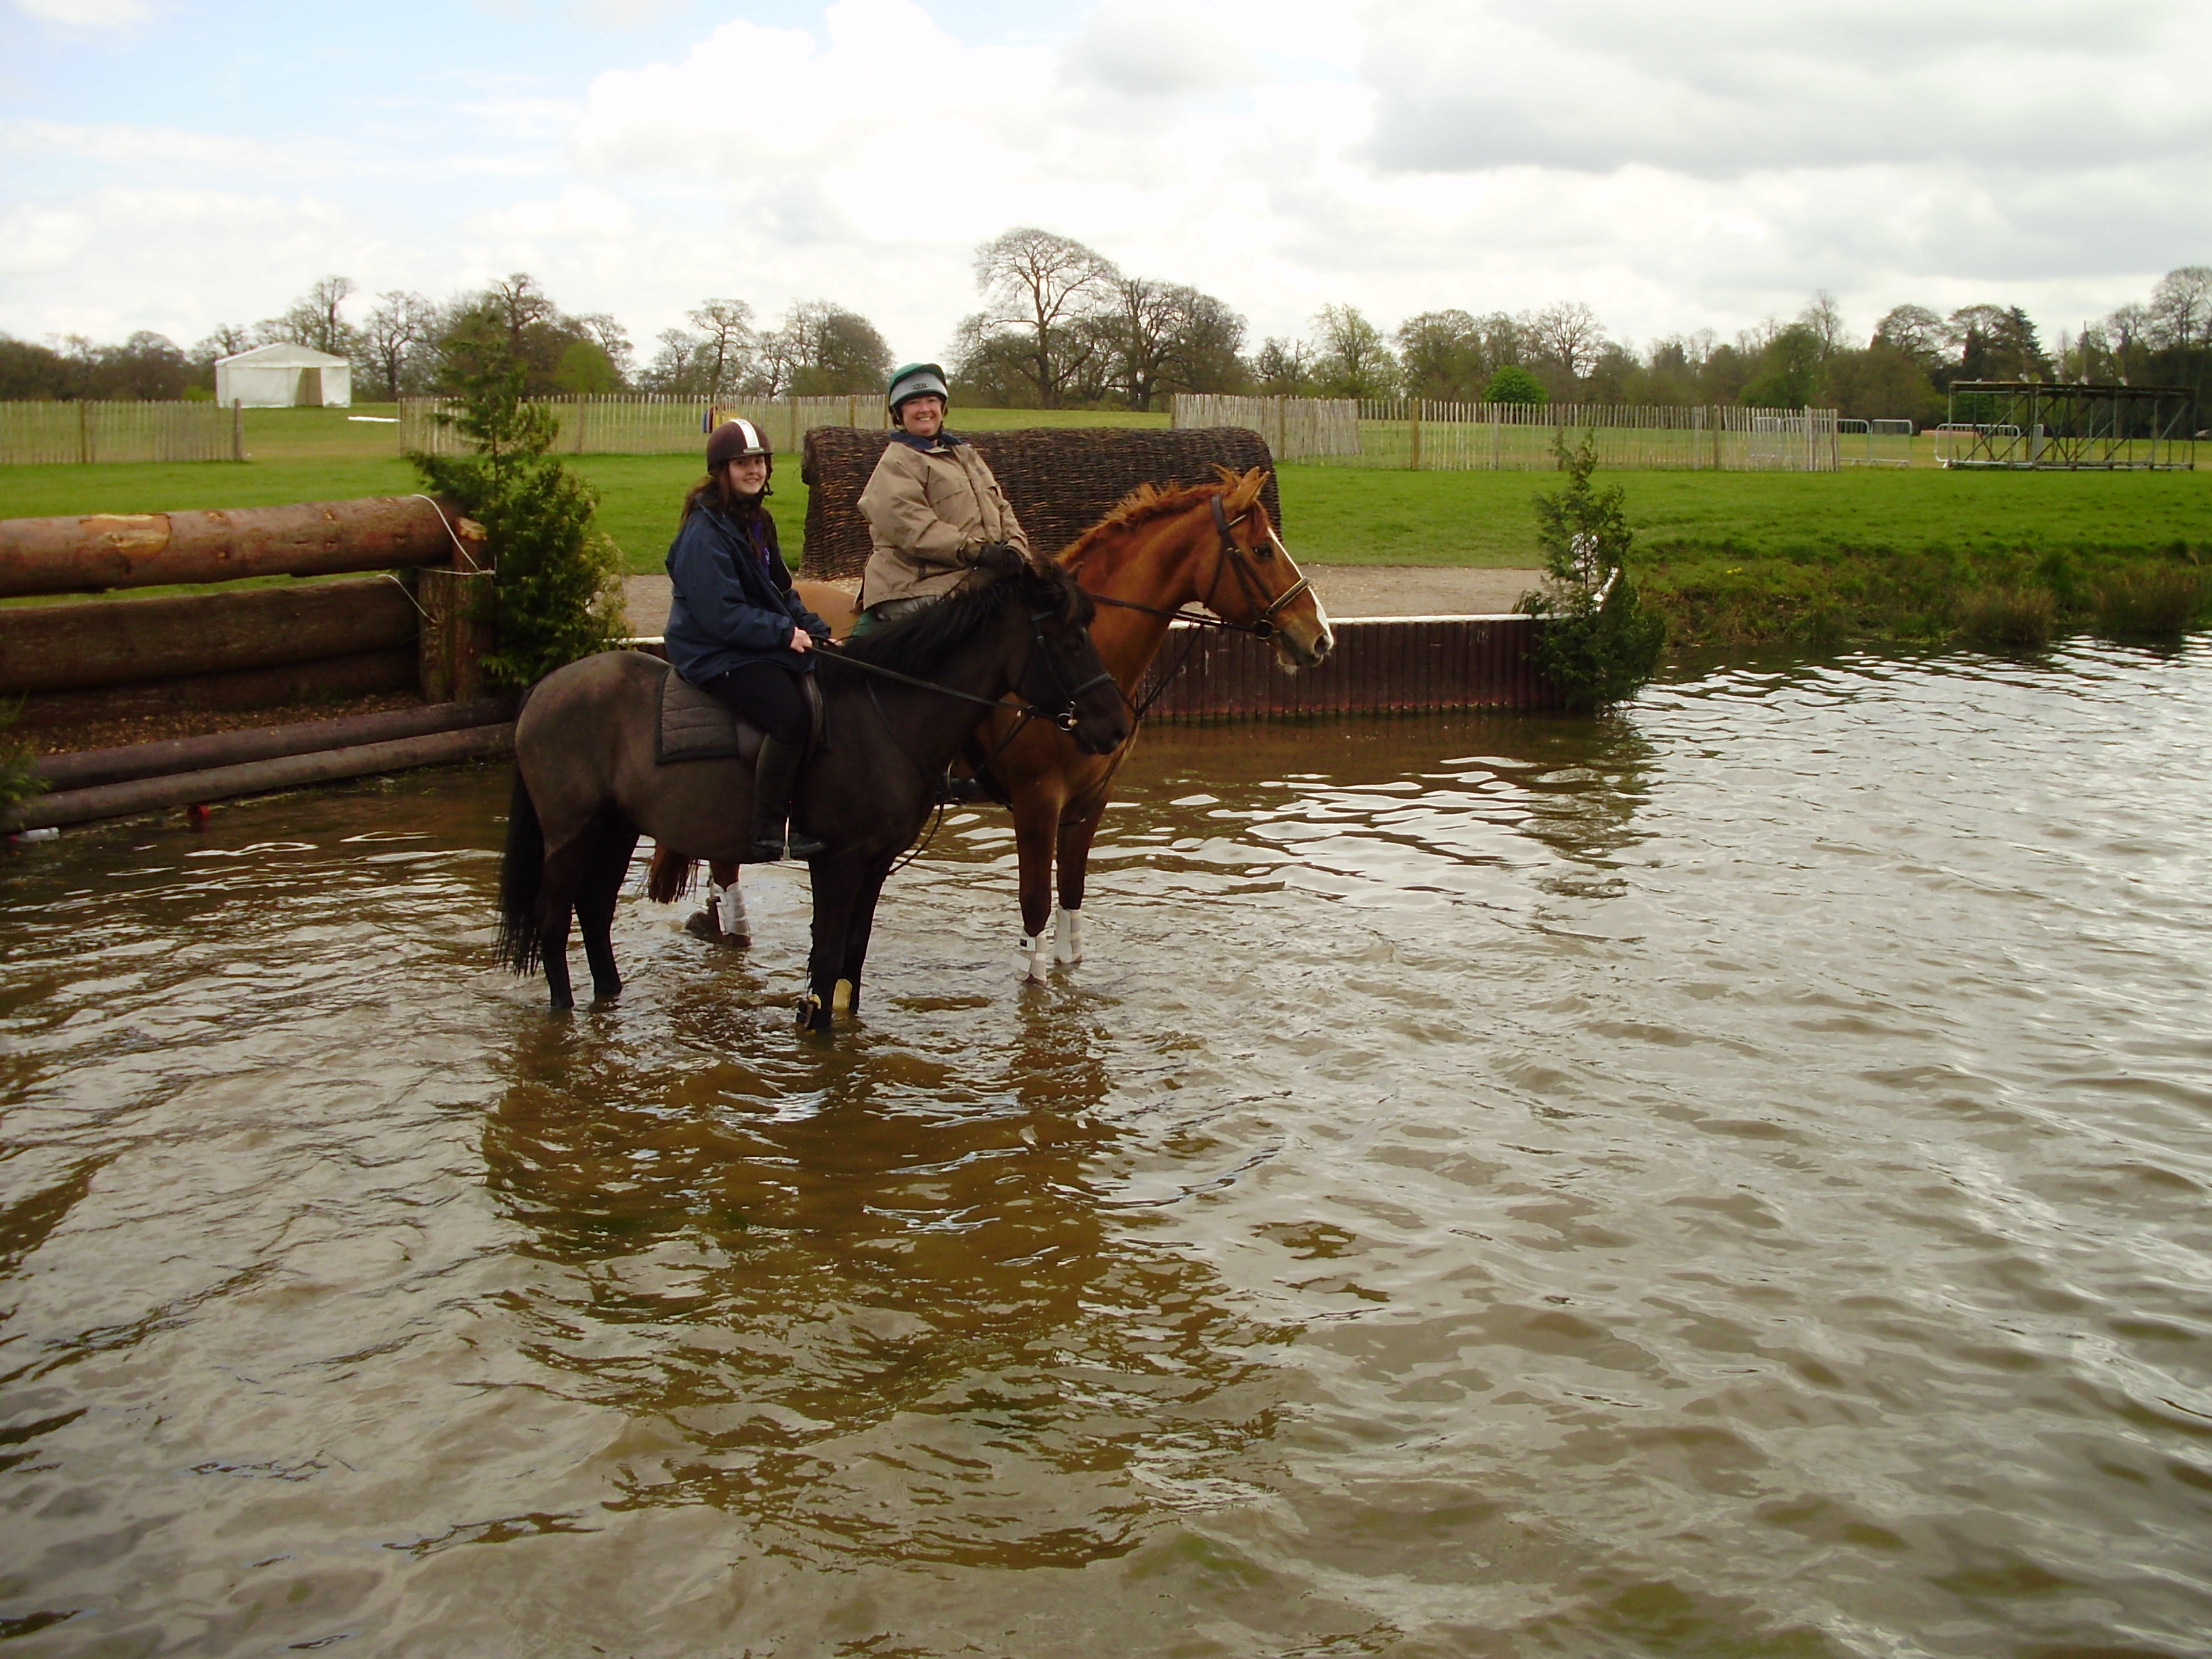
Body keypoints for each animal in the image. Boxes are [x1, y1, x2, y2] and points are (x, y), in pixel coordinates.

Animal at [497, 561, 1130, 1025]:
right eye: (1072, 641)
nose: (1115, 727)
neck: (886, 715)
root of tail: (544, 691)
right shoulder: (837, 861)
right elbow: (826, 959)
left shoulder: (873, 864)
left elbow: (851, 955)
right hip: (570, 834)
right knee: (553, 920)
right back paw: (564, 1014)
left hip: (615, 829)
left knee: (595, 913)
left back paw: (610, 997)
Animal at [651, 466, 1333, 980]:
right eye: (1263, 550)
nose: (1319, 638)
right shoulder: (1036, 804)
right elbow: (1034, 909)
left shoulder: (1090, 803)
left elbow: (1071, 902)